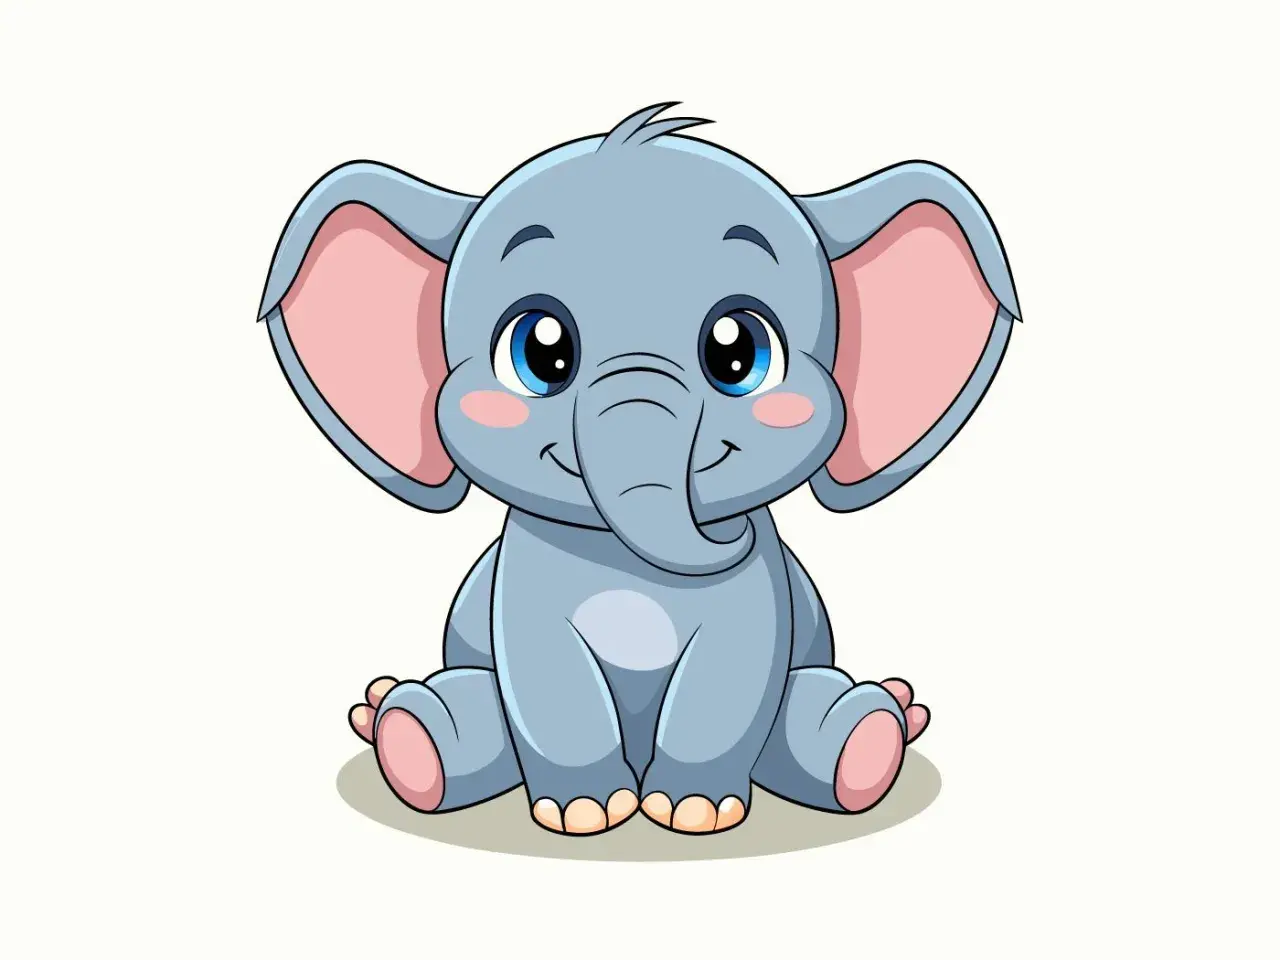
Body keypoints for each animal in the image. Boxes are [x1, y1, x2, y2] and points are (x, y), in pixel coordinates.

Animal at [258, 104, 1019, 835]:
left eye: (739, 351)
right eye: (540, 350)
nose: (727, 533)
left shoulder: (757, 598)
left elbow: (735, 671)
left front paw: (694, 812)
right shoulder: (525, 579)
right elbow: (544, 671)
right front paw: (585, 814)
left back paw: (875, 735)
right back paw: (403, 732)